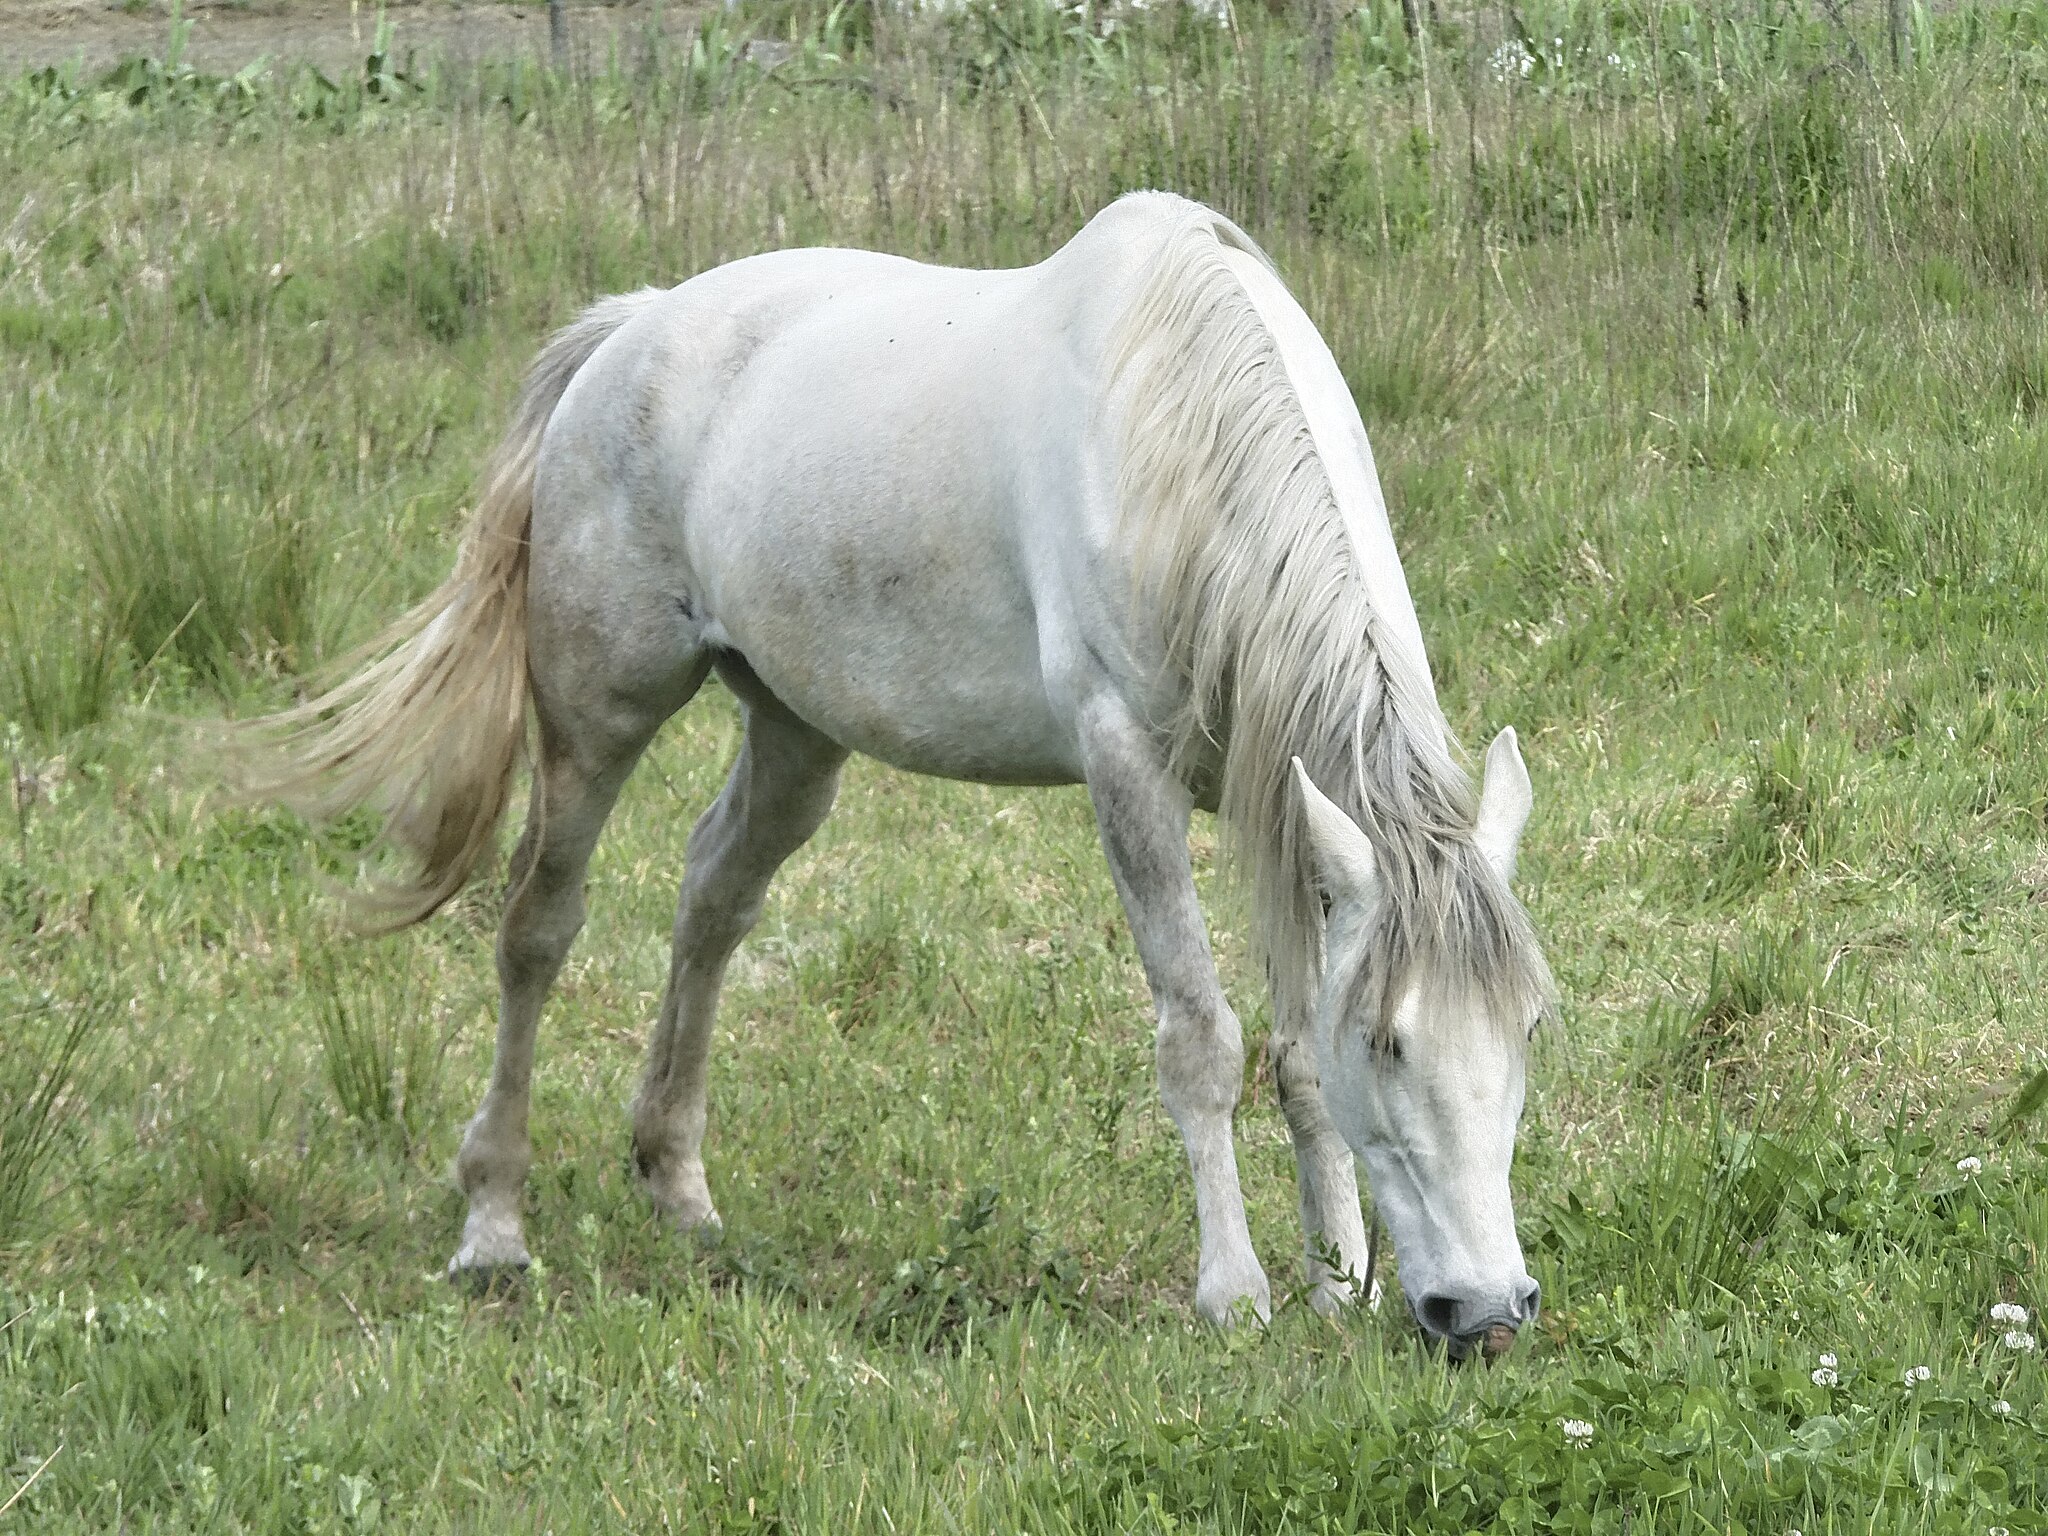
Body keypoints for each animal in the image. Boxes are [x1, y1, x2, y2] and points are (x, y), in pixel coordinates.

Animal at [239, 189, 1548, 1359]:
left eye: (1527, 1025)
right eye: (1391, 1042)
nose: (1482, 1312)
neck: (1171, 434)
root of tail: (632, 329)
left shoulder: (1274, 798)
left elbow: (1294, 1057)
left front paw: (1339, 1283)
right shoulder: (1126, 769)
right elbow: (1201, 1040)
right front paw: (1235, 1295)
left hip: (793, 732)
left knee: (712, 898)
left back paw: (679, 1191)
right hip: (594, 714)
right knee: (537, 928)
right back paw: (495, 1224)